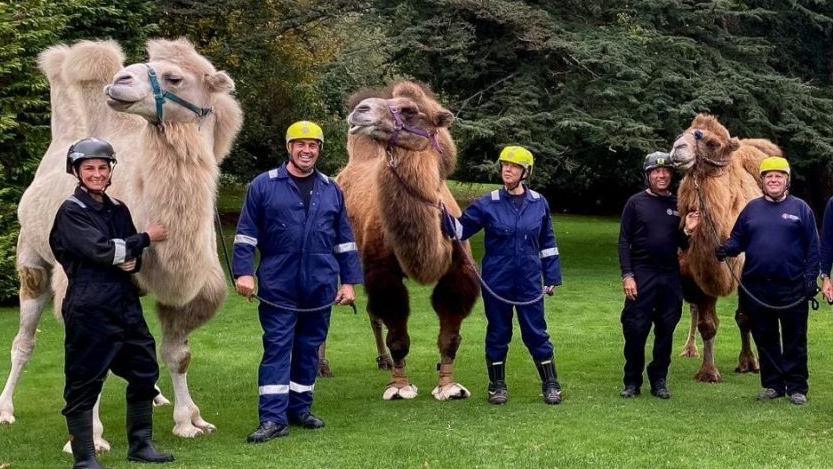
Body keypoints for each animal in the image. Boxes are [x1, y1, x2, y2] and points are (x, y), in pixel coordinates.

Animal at [340, 80, 480, 398]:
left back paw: (383, 361)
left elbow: (450, 335)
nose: (360, 111)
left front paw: (449, 386)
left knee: (371, 314)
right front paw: (400, 387)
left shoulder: (459, 269)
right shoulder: (382, 271)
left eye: (409, 110)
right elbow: (398, 334)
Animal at [668, 113, 772, 380]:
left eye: (712, 143)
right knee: (693, 309)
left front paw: (748, 362)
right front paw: (708, 371)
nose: (677, 149)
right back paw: (689, 349)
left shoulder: (745, 273)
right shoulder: (696, 273)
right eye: (681, 134)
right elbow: (707, 324)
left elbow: (745, 317)